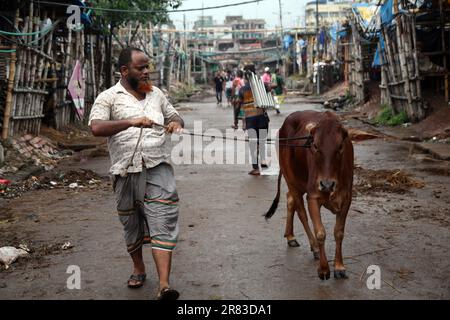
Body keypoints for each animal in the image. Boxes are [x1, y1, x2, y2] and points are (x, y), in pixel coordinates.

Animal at [266, 110, 354, 280]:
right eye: (315, 145)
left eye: (340, 146)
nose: (327, 184)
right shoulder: (313, 197)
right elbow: (320, 232)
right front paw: (324, 269)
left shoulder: (347, 198)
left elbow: (339, 232)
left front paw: (339, 267)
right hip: (291, 180)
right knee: (301, 213)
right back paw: (313, 247)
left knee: (290, 199)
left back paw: (291, 236)